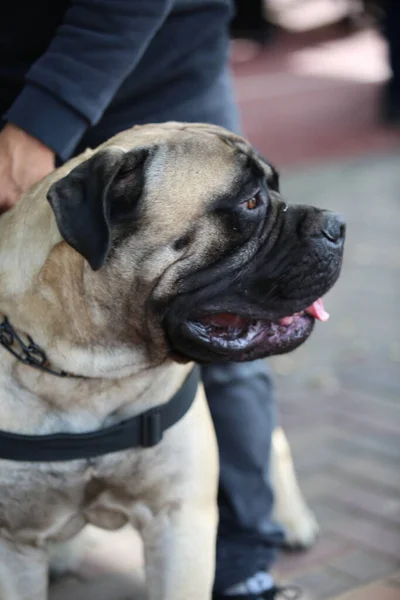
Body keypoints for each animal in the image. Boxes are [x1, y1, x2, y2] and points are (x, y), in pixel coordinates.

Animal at [0, 123, 344, 600]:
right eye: (250, 202)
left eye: (274, 187)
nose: (337, 225)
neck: (93, 376)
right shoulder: (13, 543)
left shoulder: (179, 522)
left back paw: (292, 520)